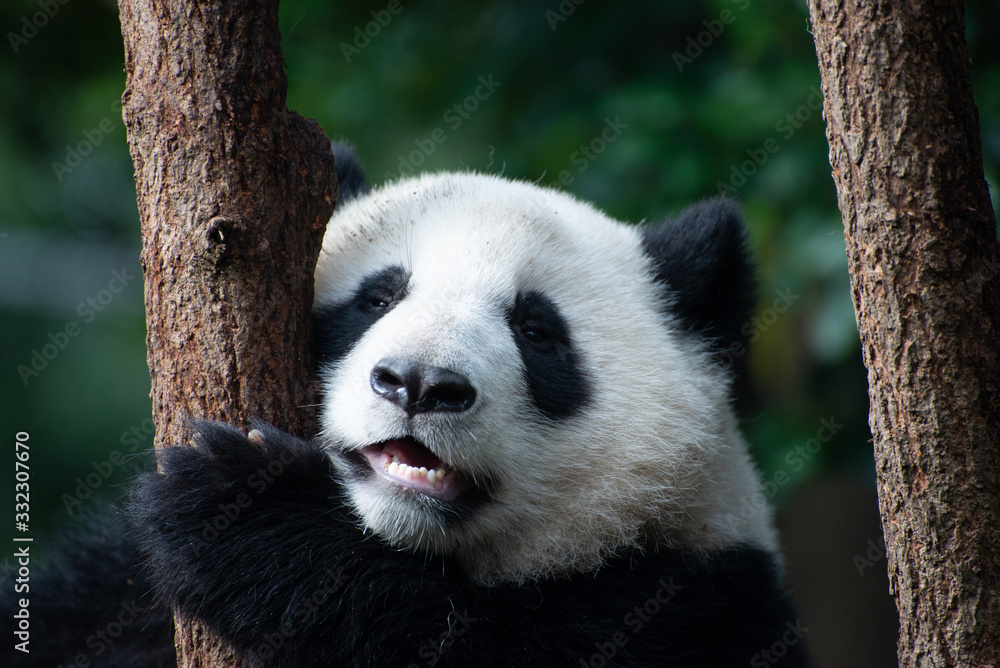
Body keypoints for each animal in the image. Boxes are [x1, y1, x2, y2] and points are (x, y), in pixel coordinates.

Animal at [11, 144, 808, 667]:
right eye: (377, 297)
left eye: (537, 331)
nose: (420, 384)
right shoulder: (109, 603)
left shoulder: (694, 606)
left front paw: (241, 506)